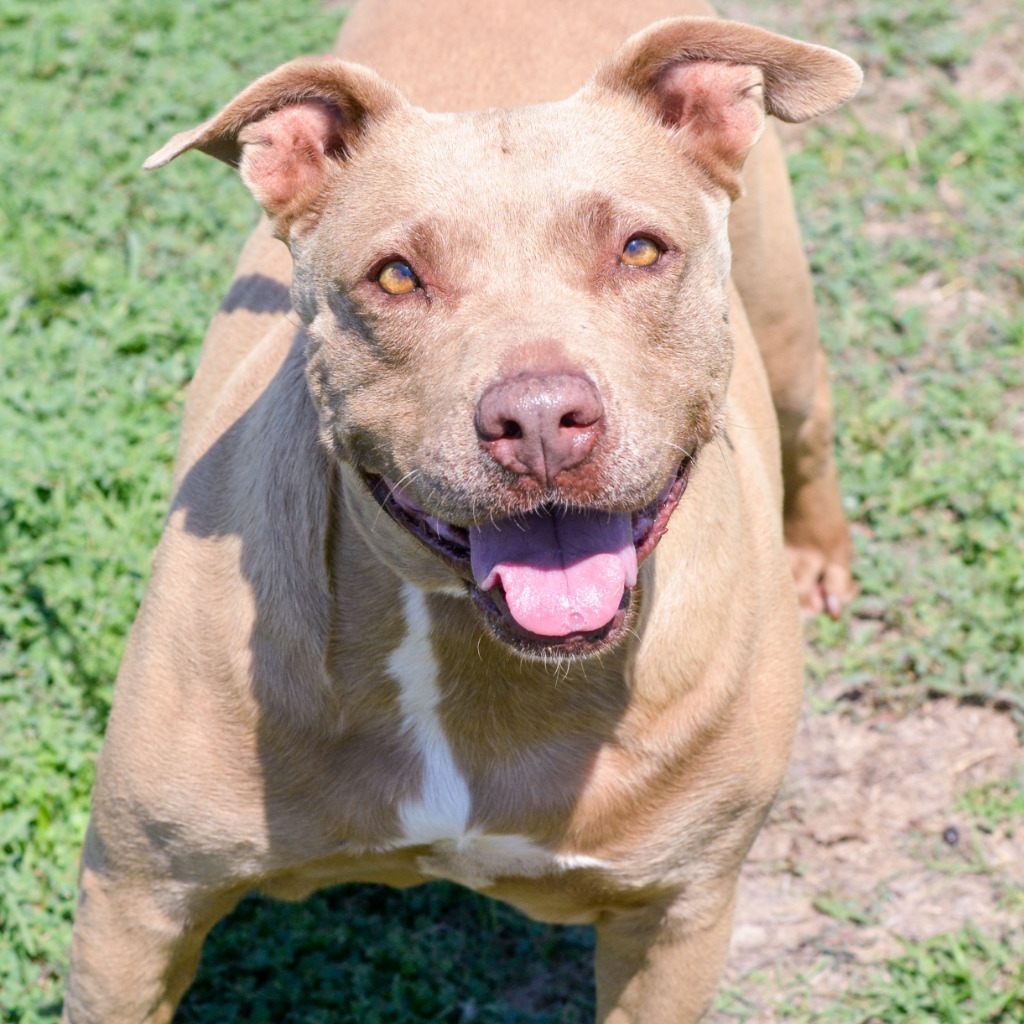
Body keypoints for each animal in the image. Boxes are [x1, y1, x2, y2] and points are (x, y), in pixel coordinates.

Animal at [64, 4, 860, 1019]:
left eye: (640, 248)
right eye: (397, 275)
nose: (540, 419)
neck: (478, 660)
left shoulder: (676, 919)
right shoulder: (134, 900)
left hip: (782, 310)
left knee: (813, 415)